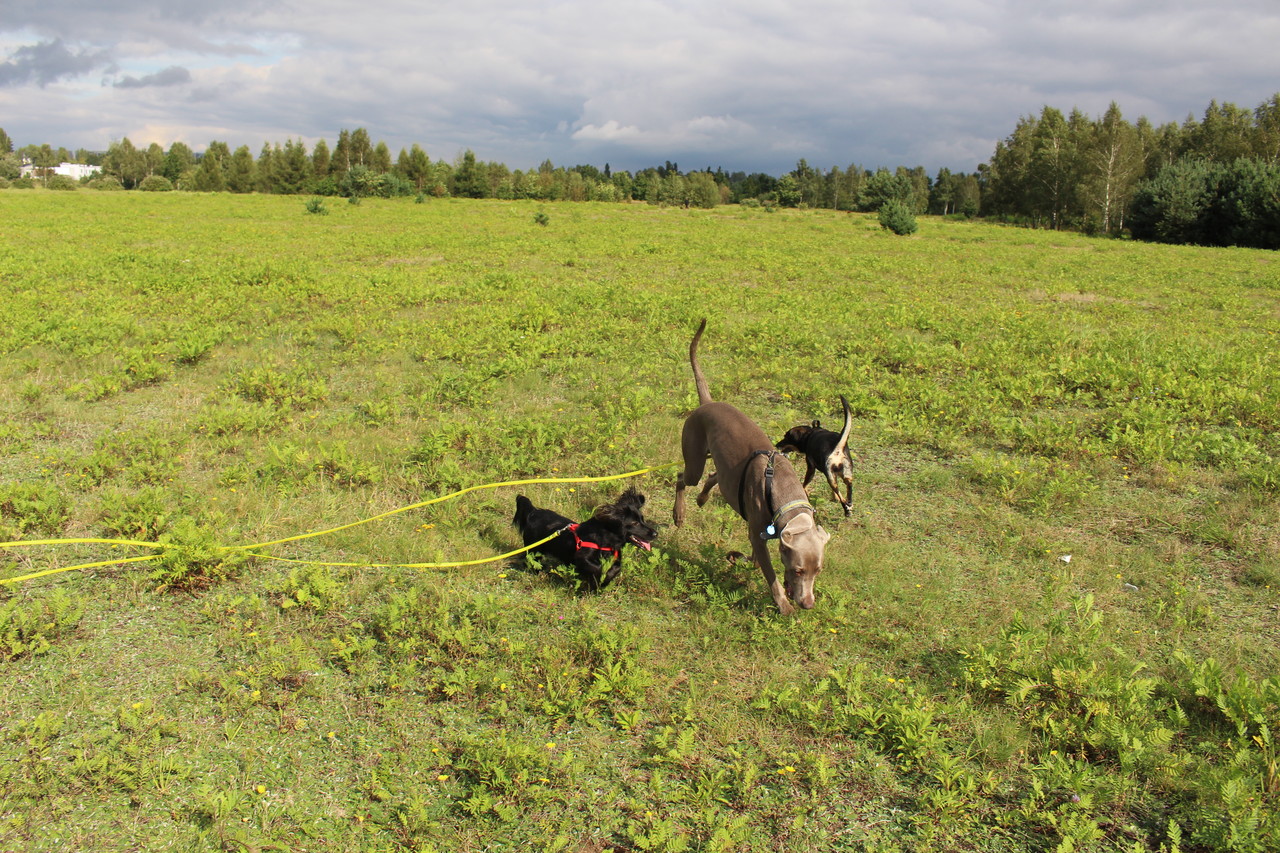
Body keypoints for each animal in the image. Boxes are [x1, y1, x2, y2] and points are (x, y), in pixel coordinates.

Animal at [512, 486, 657, 591]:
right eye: (635, 523)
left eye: (642, 520)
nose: (656, 534)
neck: (607, 538)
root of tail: (534, 512)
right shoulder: (582, 557)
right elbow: (597, 568)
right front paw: (597, 581)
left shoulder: (615, 557)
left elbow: (616, 568)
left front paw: (604, 582)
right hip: (534, 548)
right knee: (530, 559)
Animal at [673, 319, 831, 614]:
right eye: (798, 570)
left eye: (818, 570)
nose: (807, 604)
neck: (783, 492)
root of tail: (708, 403)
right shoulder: (758, 533)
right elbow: (769, 574)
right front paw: (783, 605)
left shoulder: (765, 533)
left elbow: (758, 560)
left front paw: (740, 559)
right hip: (693, 458)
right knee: (681, 477)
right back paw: (679, 514)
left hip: (724, 468)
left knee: (715, 476)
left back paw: (702, 499)